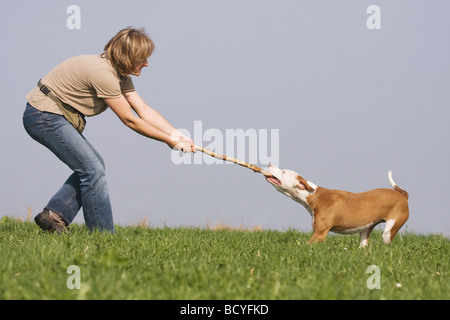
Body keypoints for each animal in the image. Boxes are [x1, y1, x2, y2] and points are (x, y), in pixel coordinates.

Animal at [266, 166, 410, 246]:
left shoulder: (319, 234)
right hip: (365, 230)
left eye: (284, 172)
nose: (270, 164)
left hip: (388, 232)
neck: (314, 196)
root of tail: (402, 195)